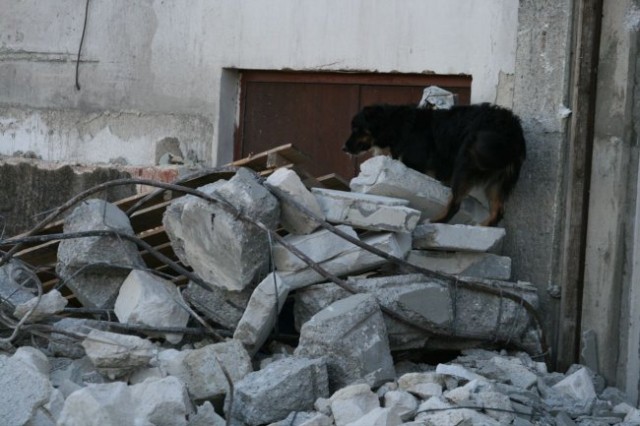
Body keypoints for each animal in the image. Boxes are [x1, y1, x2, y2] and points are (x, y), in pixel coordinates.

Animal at [342, 103, 528, 226]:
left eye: (356, 128)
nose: (343, 148)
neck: (397, 126)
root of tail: (510, 128)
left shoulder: (417, 166)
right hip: (499, 180)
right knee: (498, 212)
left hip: (464, 163)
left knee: (455, 204)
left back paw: (435, 221)